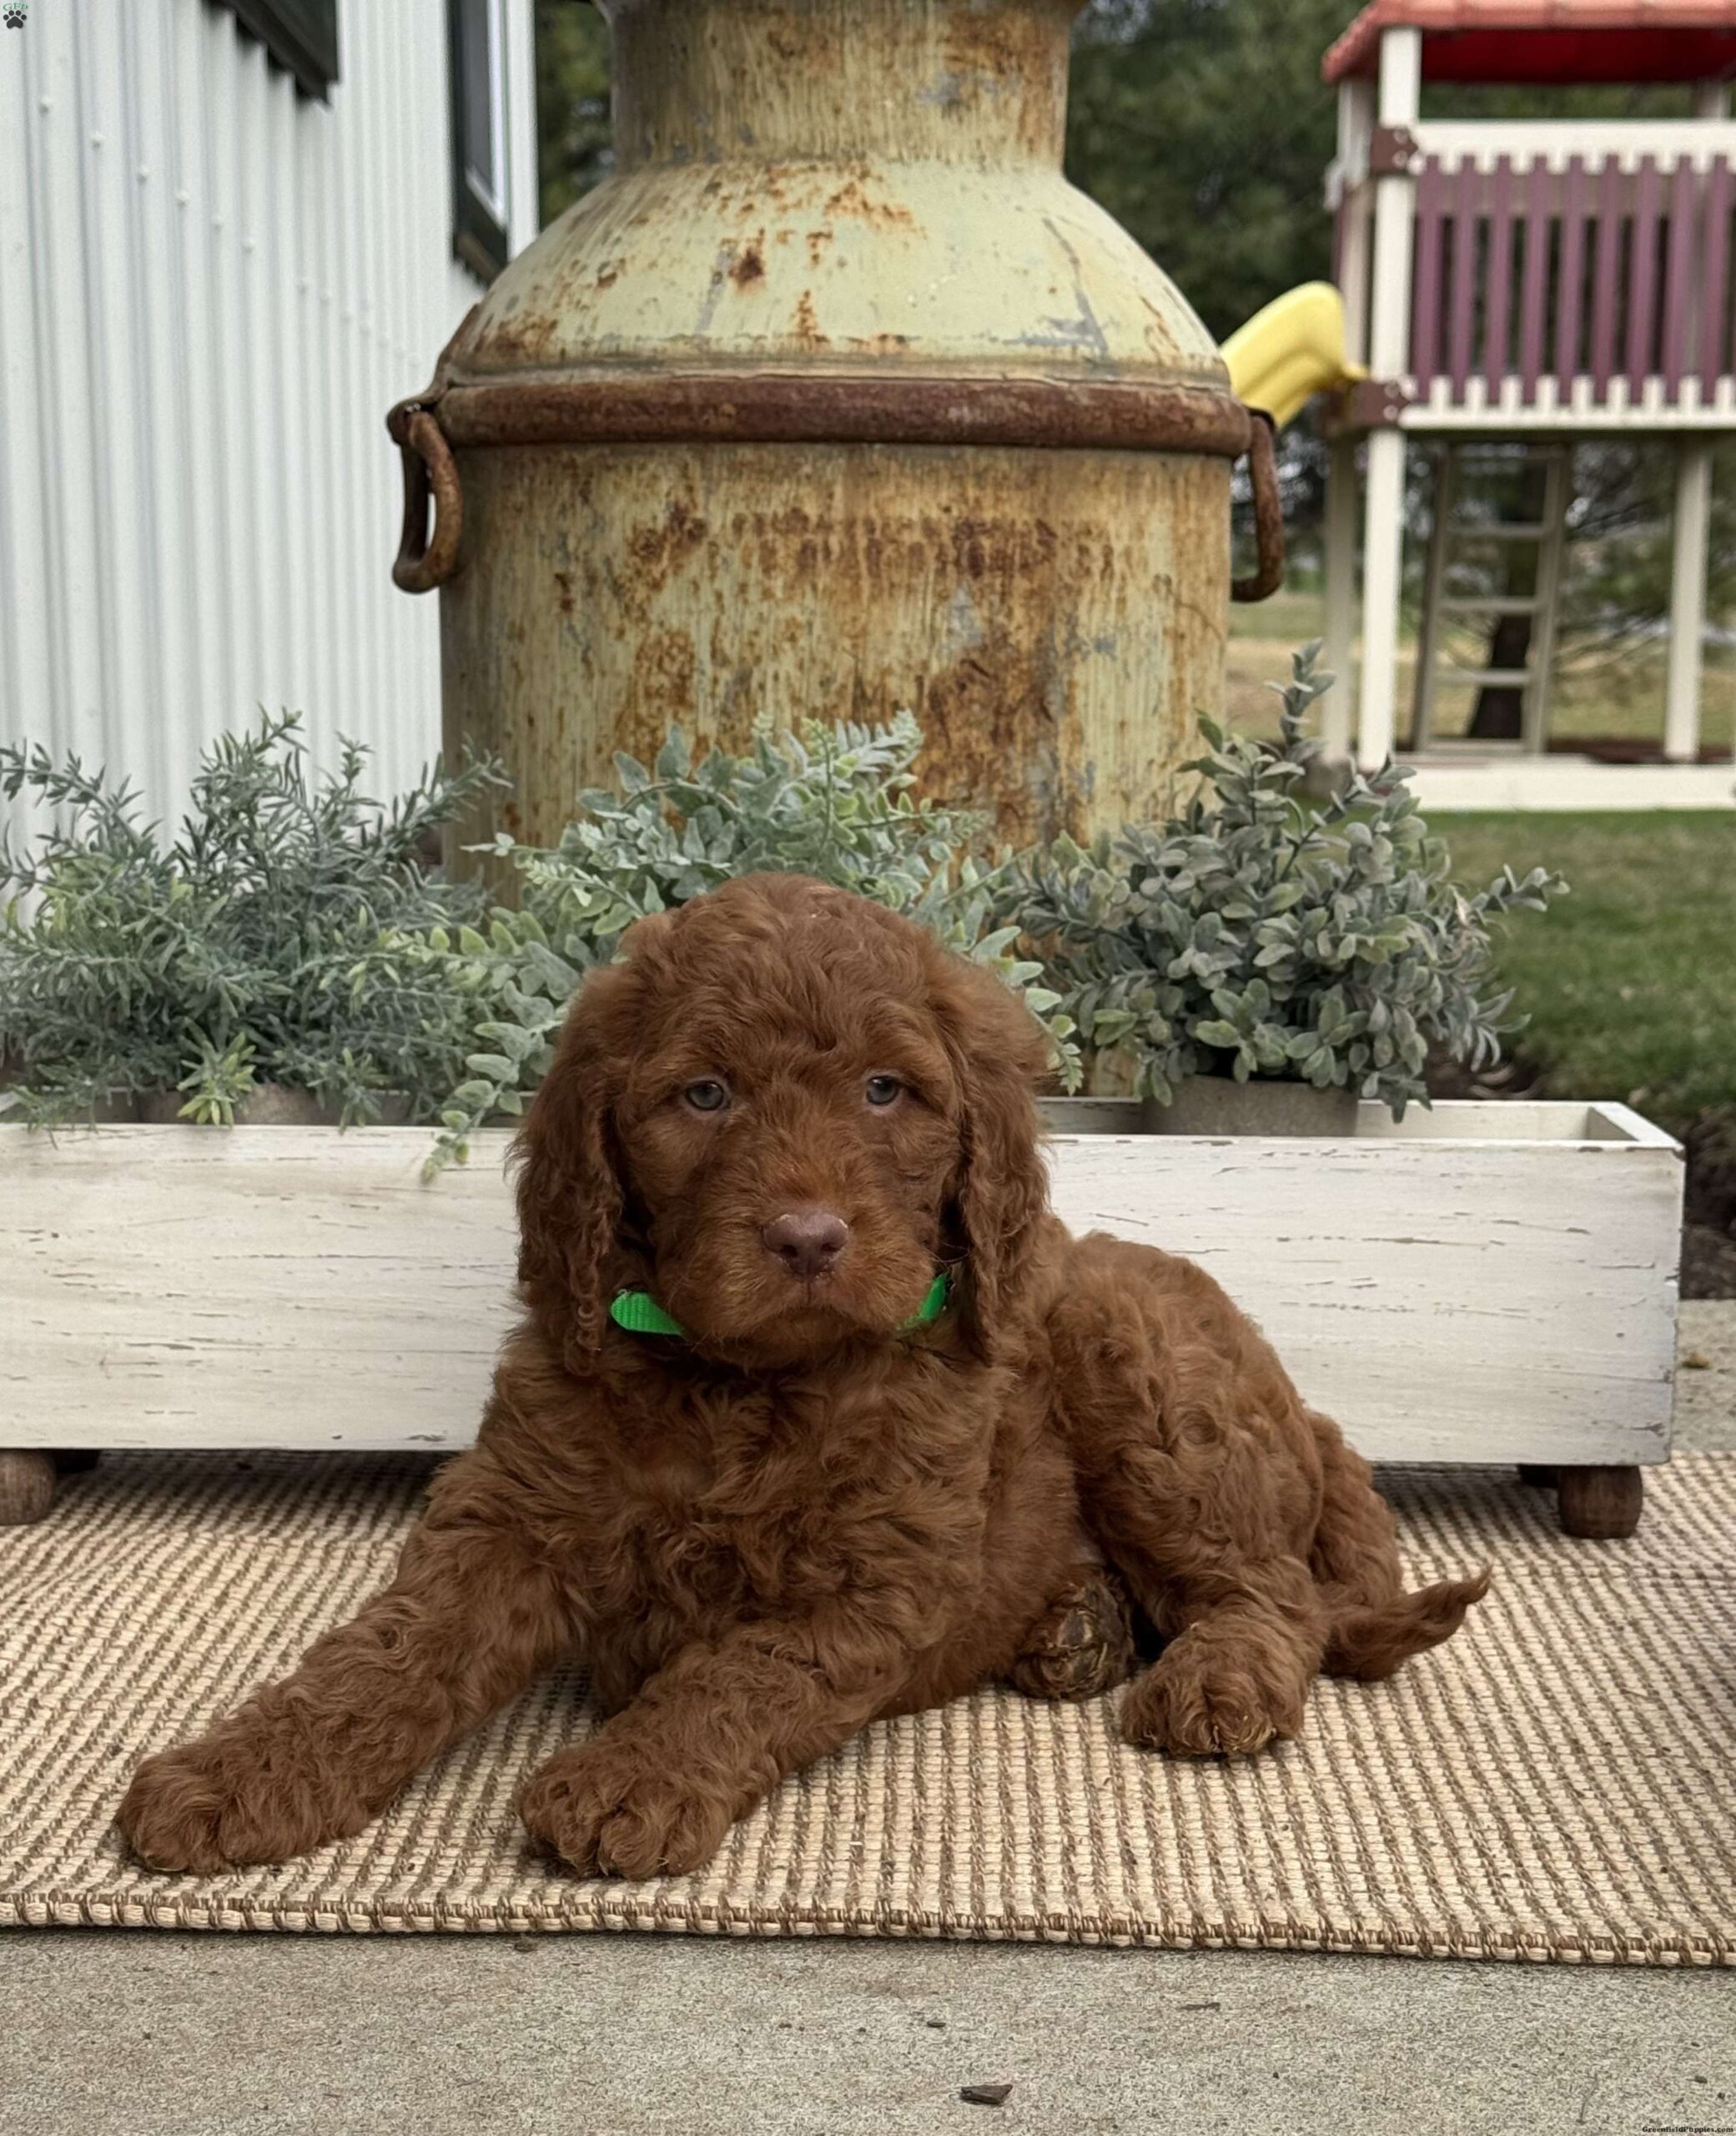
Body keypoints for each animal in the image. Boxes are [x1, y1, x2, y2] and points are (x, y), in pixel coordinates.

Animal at [117, 872, 1486, 1879]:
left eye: (885, 1091)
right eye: (703, 1094)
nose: (809, 1239)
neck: (747, 1389)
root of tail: (1306, 1411)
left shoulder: (872, 1581)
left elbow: (742, 1671)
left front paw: (628, 1779)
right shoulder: (509, 1519)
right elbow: (383, 1653)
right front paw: (238, 1772)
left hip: (1140, 1377)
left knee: (1273, 1593)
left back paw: (1211, 1679)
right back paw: (1076, 1627)